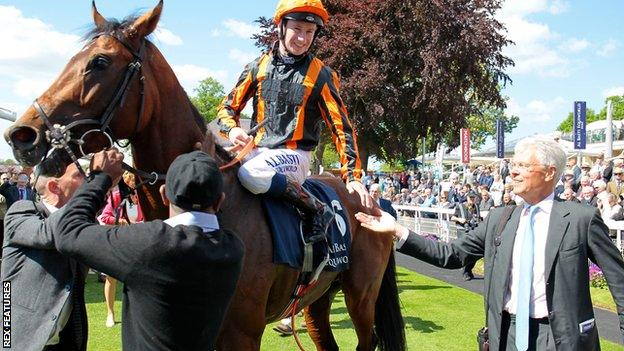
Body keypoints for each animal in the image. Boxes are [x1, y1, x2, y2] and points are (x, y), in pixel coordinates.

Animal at [4, 1, 408, 350]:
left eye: (99, 62)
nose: (21, 134)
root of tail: (372, 198)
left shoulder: (241, 333)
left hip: (361, 295)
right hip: (317, 298)